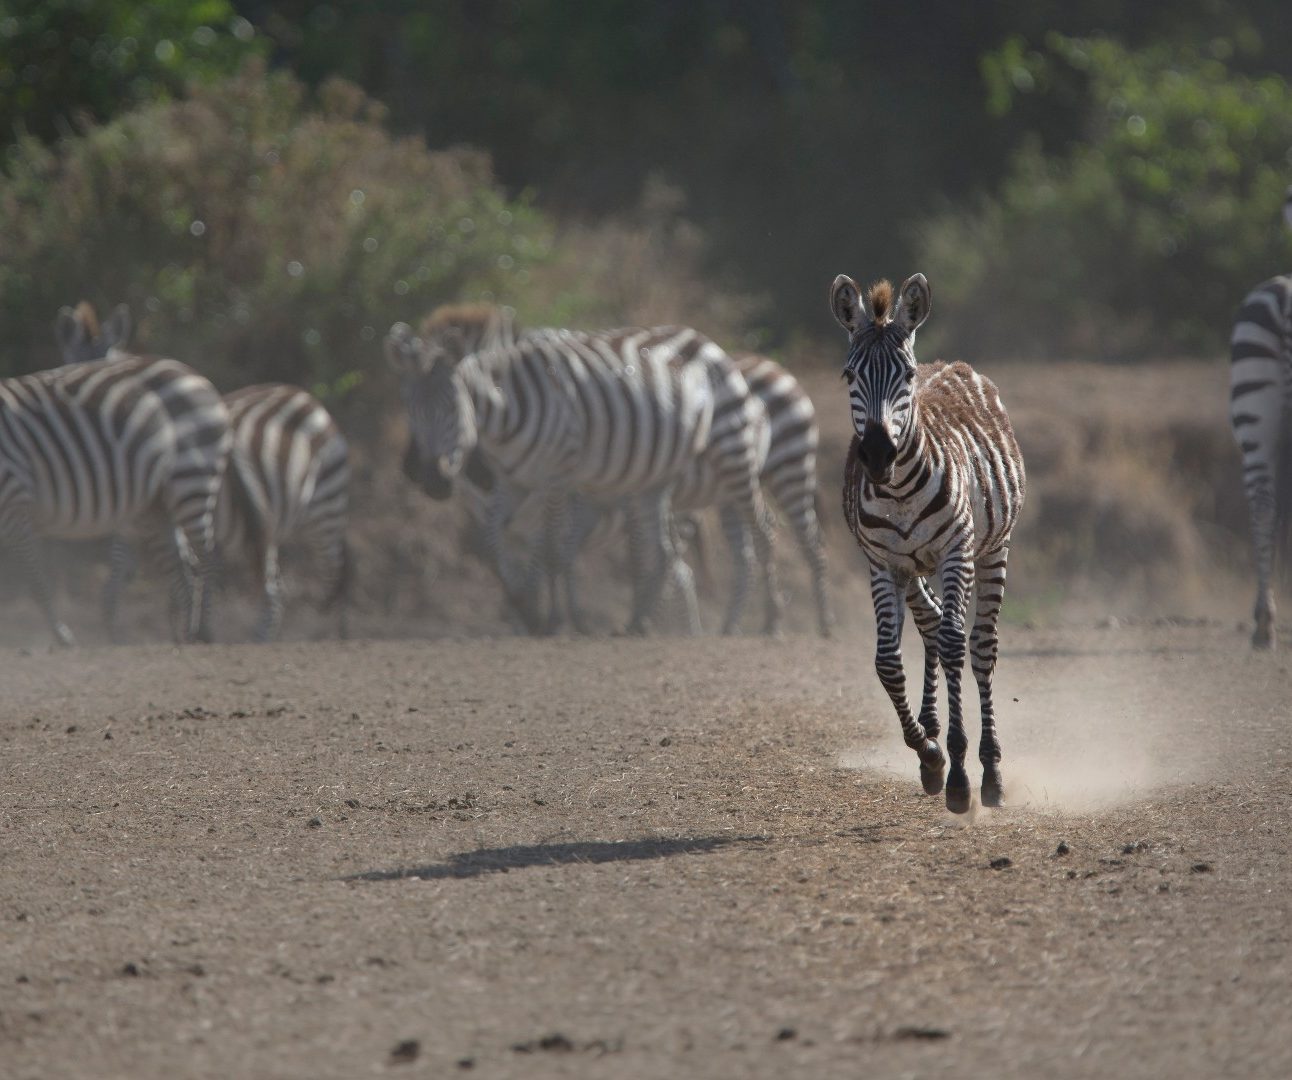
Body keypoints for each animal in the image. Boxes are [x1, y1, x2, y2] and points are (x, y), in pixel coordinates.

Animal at [0, 353, 229, 645]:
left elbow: (36, 581)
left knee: (208, 557)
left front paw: (63, 636)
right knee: (182, 567)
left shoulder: (13, 502)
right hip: (155, 505)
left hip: (191, 478)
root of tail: (190, 372)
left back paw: (204, 630)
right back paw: (184, 635)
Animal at [379, 303, 764, 638]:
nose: (421, 474)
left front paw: (548, 618)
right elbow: (498, 552)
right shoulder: (503, 504)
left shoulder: (552, 489)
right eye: (407, 405)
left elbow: (549, 553)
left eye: (453, 406)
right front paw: (528, 612)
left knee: (696, 555)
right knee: (668, 557)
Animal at [832, 273, 1023, 816]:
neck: (897, 490)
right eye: (848, 376)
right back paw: (934, 737)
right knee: (933, 627)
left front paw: (959, 774)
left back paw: (991, 772)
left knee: (978, 645)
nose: (877, 454)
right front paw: (931, 754)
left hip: (990, 550)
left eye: (907, 375)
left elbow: (958, 644)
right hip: (916, 568)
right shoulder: (882, 563)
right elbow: (888, 662)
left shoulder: (957, 552)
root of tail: (954, 364)